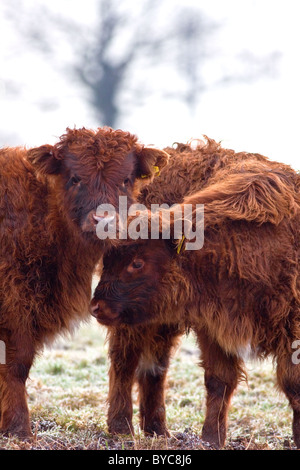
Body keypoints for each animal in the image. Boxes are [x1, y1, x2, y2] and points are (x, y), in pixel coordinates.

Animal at [0, 125, 169, 436]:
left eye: (125, 179)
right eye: (75, 178)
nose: (103, 220)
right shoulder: (17, 306)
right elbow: (18, 365)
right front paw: (18, 428)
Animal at [91, 138, 300, 450]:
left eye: (137, 262)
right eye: (107, 260)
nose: (96, 306)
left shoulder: (286, 330)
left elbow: (290, 386)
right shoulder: (214, 328)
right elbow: (218, 380)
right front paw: (212, 438)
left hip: (159, 322)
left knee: (153, 369)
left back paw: (157, 431)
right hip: (136, 324)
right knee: (125, 363)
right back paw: (121, 428)